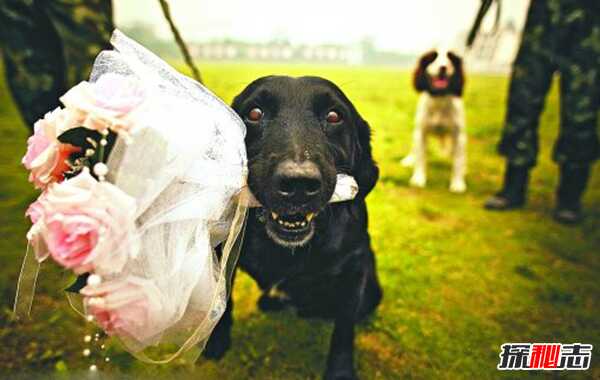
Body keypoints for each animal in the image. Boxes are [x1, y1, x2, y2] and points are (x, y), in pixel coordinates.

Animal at [204, 75, 382, 378]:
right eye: (255, 113)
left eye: (334, 116)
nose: (298, 184)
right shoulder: (224, 251)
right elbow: (223, 300)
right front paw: (217, 340)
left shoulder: (355, 266)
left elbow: (344, 327)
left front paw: (341, 371)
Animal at [404, 49, 468, 193]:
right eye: (433, 58)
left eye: (450, 59)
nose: (443, 67)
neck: (439, 99)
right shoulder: (421, 133)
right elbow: (421, 157)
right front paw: (418, 179)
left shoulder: (459, 136)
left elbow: (458, 160)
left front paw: (457, 183)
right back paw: (409, 159)